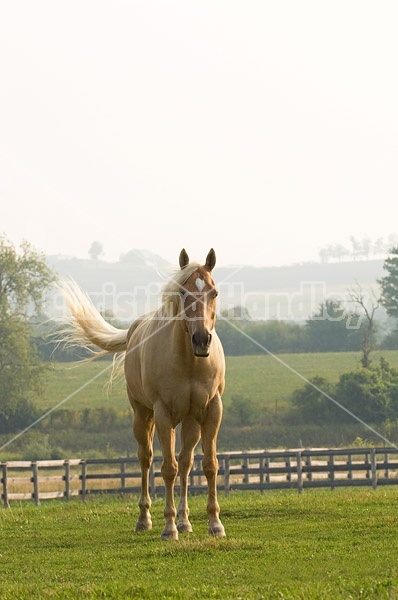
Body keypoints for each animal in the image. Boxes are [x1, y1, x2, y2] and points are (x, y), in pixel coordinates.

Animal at [60, 248, 225, 540]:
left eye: (214, 292)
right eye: (183, 292)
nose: (201, 340)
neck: (190, 362)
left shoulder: (212, 410)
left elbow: (208, 465)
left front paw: (214, 524)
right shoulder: (163, 413)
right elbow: (167, 469)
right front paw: (168, 527)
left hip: (190, 421)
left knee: (186, 462)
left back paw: (185, 521)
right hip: (143, 415)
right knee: (146, 458)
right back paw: (145, 519)